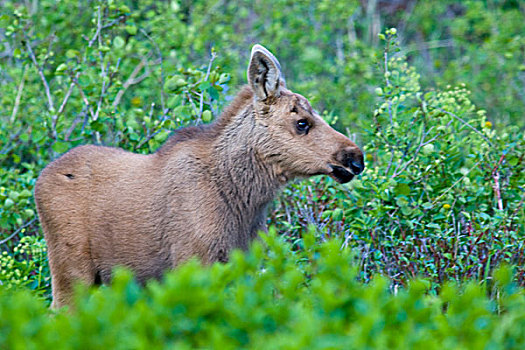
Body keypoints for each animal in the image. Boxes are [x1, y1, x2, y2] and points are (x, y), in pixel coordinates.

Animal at [34, 44, 364, 308]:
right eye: (302, 122)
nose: (355, 158)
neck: (244, 200)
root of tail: (40, 178)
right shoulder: (194, 262)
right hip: (70, 271)